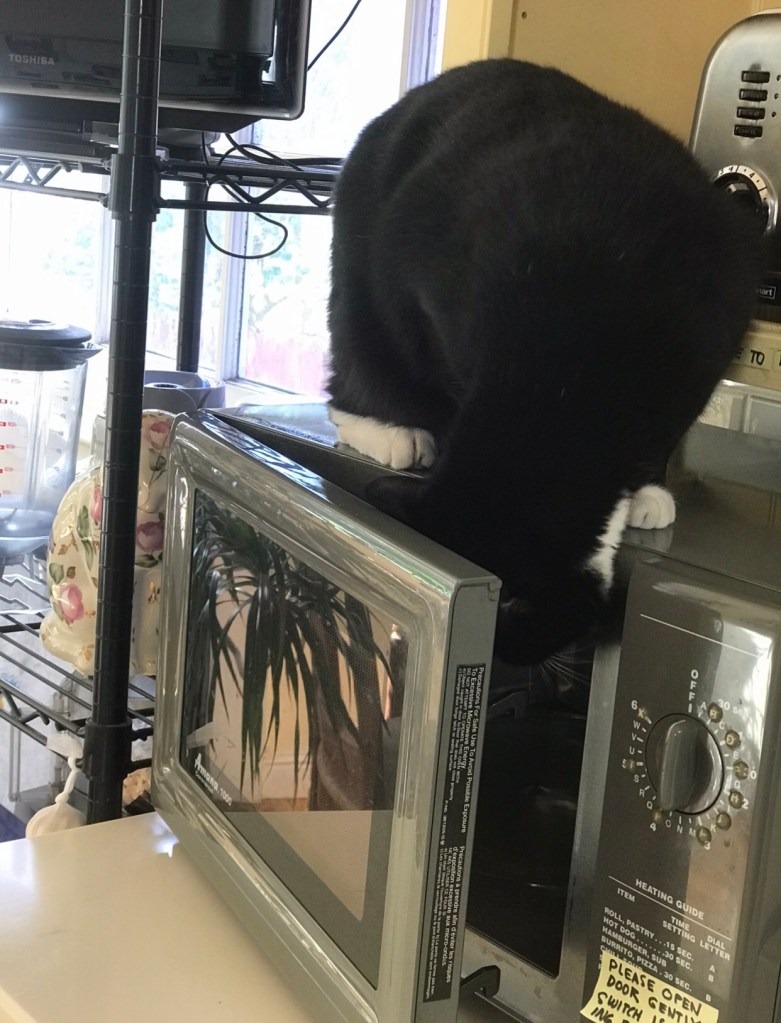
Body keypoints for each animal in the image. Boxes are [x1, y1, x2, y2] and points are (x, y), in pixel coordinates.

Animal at [326, 59, 763, 665]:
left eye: (512, 605)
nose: (499, 657)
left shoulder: (714, 334)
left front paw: (647, 491)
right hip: (362, 274)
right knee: (355, 364)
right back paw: (392, 432)